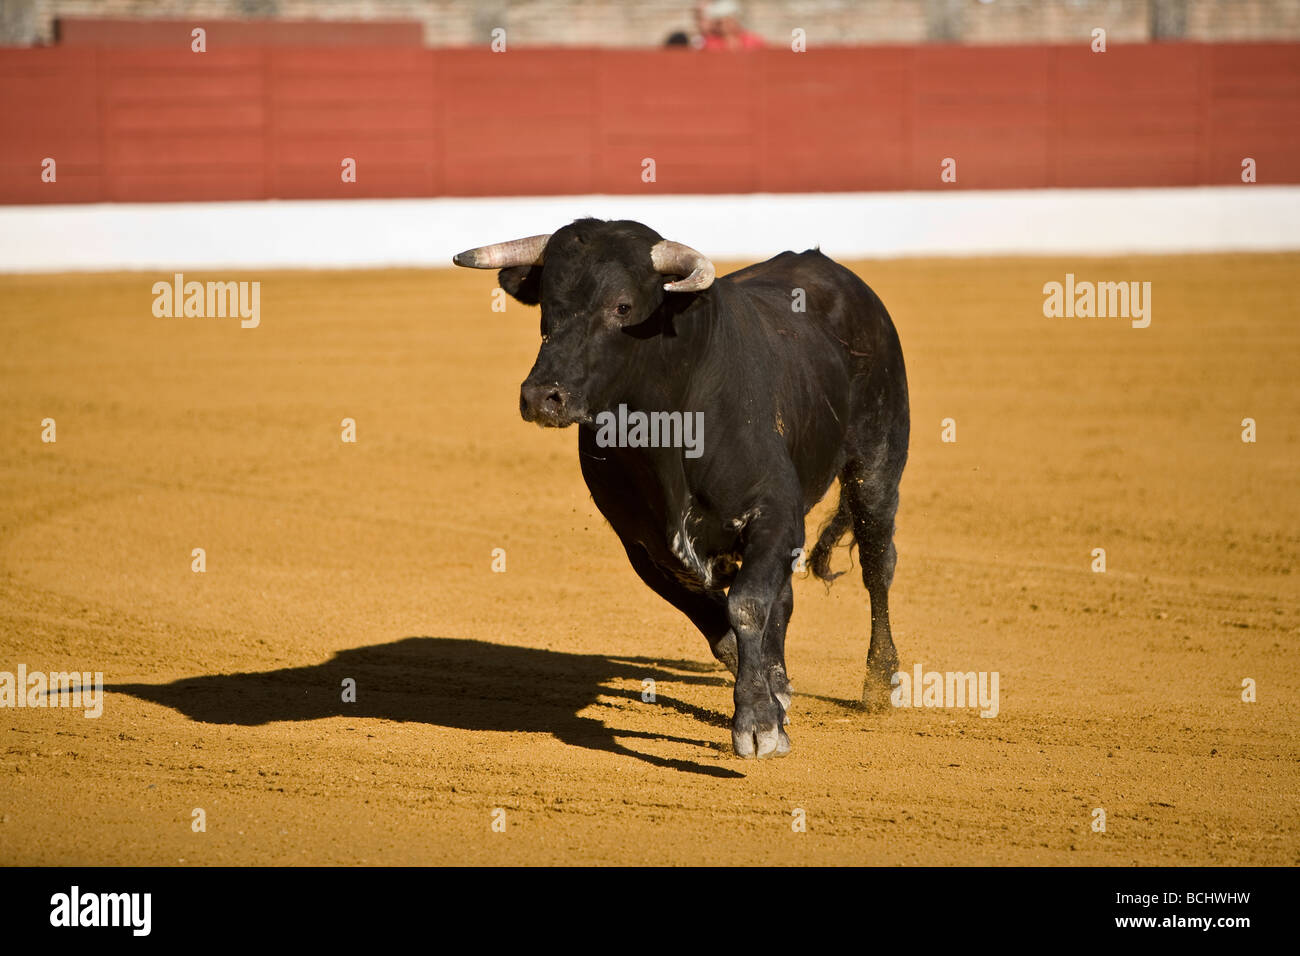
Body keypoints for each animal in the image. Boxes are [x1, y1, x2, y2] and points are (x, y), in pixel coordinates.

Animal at [457, 218, 915, 764]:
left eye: (623, 306)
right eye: (548, 305)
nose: (542, 397)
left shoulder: (775, 514)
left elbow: (746, 605)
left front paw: (758, 725)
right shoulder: (644, 544)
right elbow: (721, 623)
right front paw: (769, 700)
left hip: (878, 464)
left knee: (877, 564)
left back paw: (881, 683)